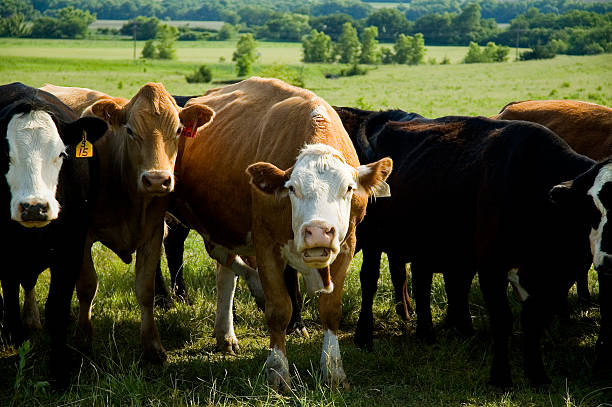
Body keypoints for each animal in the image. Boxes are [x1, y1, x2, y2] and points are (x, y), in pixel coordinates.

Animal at [0, 81, 107, 388]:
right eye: (5, 155)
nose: (34, 207)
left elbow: (56, 309)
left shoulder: (70, 252)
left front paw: (60, 373)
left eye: (61, 154)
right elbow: (9, 304)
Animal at [43, 82, 215, 364]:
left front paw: (153, 346)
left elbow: (145, 290)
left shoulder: (153, 233)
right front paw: (83, 340)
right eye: (130, 130)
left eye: (178, 130)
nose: (157, 180)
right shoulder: (83, 235)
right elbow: (87, 286)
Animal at [166, 76, 392, 388]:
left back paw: (225, 334)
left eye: (348, 188)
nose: (318, 232)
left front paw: (333, 371)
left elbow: (331, 309)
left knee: (225, 272)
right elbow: (278, 309)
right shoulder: (266, 246)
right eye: (292, 188)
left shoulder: (346, 246)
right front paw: (277, 371)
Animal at [334, 107, 612, 388]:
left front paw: (537, 375)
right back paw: (365, 336)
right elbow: (502, 319)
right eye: (592, 209)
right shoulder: (491, 267)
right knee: (370, 281)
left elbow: (533, 319)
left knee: (421, 283)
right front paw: (500, 378)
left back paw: (427, 333)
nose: (609, 259)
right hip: (373, 240)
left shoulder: (556, 277)